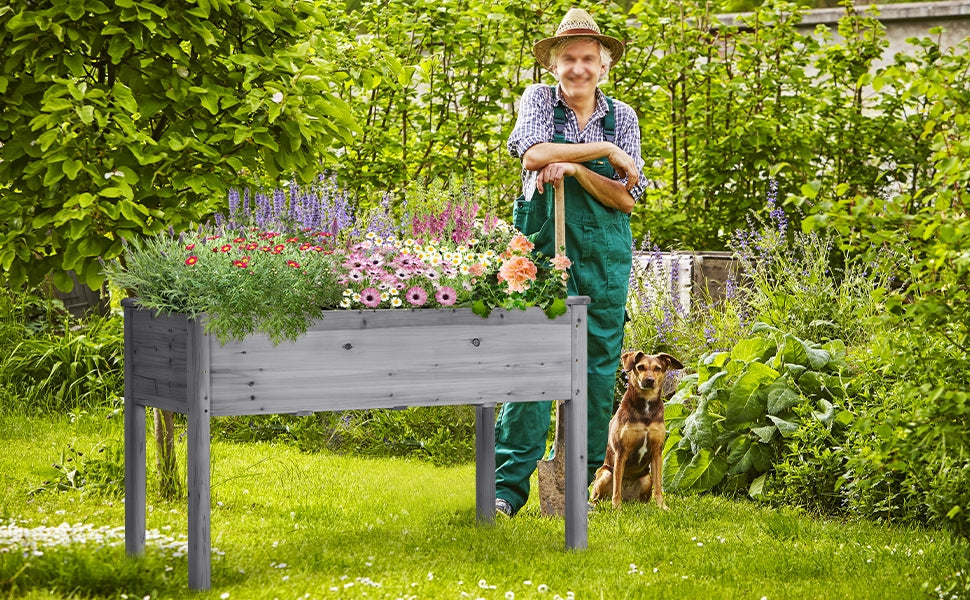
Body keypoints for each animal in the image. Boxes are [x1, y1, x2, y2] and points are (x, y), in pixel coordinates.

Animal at [588, 352, 680, 510]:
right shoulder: (621, 452)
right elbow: (616, 486)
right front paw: (617, 508)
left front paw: (662, 507)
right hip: (605, 474)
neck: (645, 410)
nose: (649, 380)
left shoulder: (657, 451)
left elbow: (658, 486)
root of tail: (628, 498)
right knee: (599, 495)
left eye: (658, 368)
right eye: (640, 367)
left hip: (646, 479)